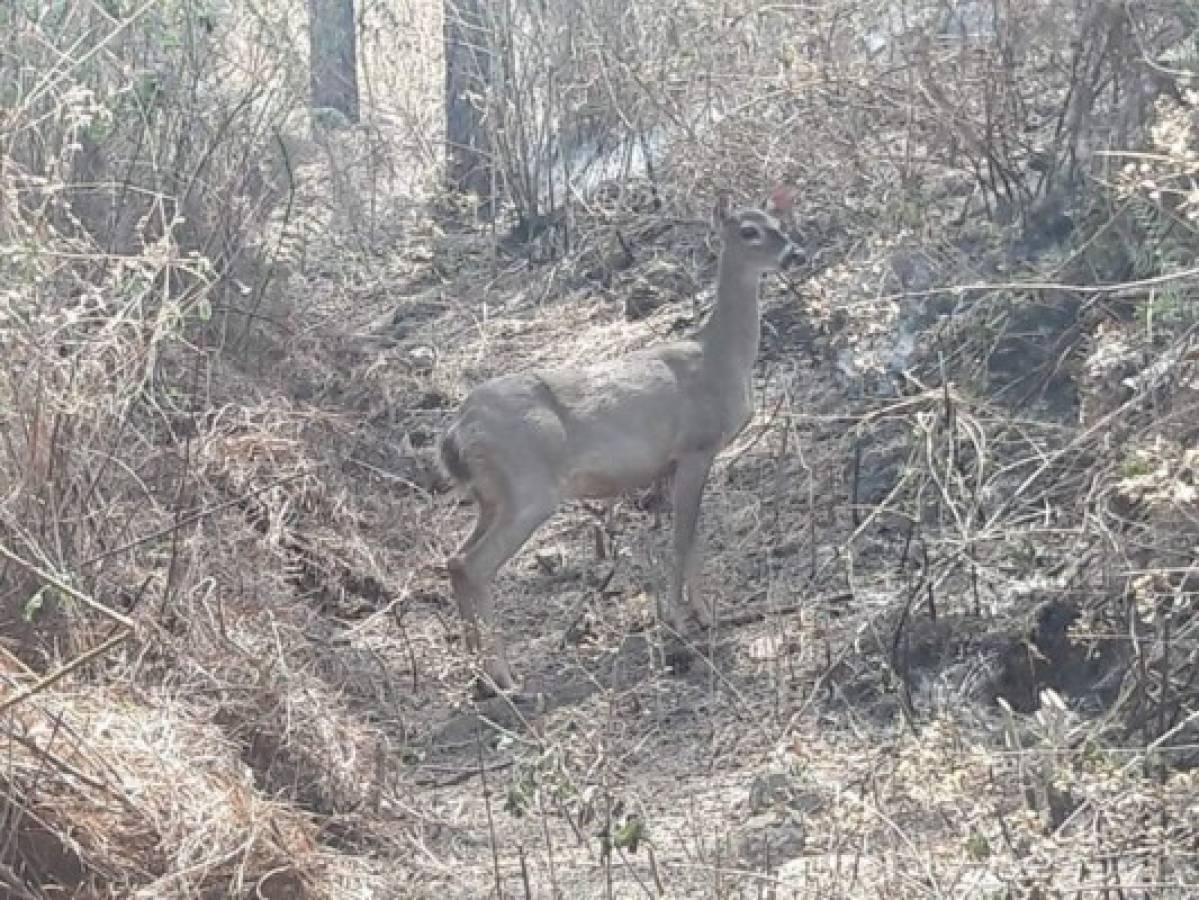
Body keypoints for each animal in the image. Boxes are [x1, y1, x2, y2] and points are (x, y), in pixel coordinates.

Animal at [436, 183, 800, 695]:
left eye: (780, 226)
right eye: (749, 231)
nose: (796, 254)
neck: (720, 358)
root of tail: (458, 430)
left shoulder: (679, 463)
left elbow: (693, 536)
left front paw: (702, 613)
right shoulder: (695, 447)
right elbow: (683, 538)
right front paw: (683, 620)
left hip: (491, 496)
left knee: (455, 559)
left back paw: (481, 676)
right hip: (528, 488)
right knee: (475, 565)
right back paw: (505, 676)